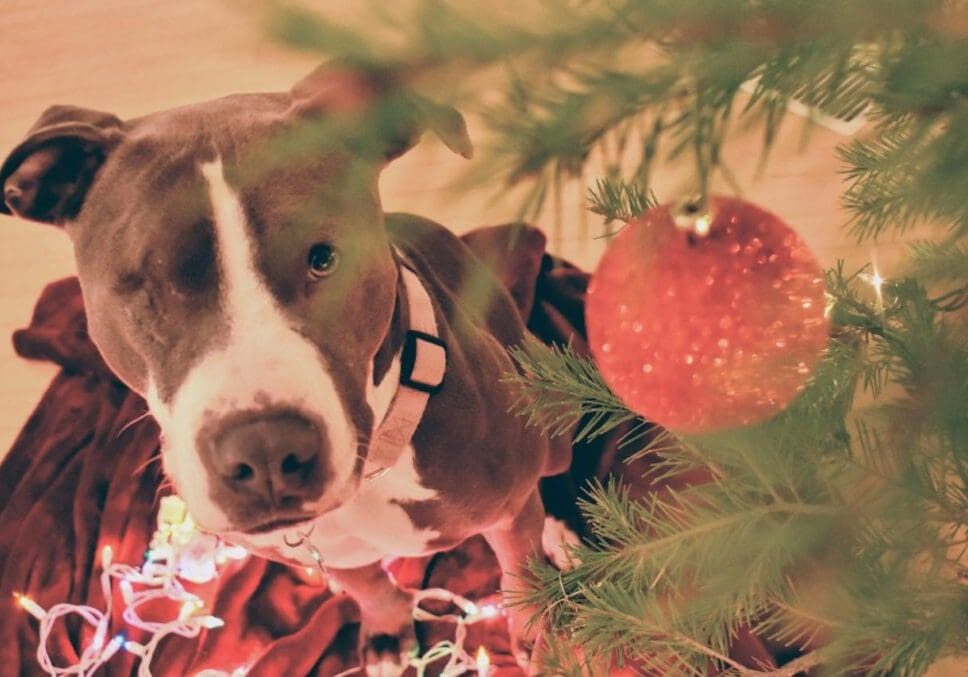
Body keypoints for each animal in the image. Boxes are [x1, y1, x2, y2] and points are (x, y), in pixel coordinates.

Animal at [0, 62, 572, 672]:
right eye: (144, 284)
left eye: (323, 258)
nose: (266, 450)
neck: (373, 474)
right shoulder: (321, 552)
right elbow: (366, 584)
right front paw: (387, 626)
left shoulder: (509, 509)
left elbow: (518, 573)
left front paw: (538, 637)